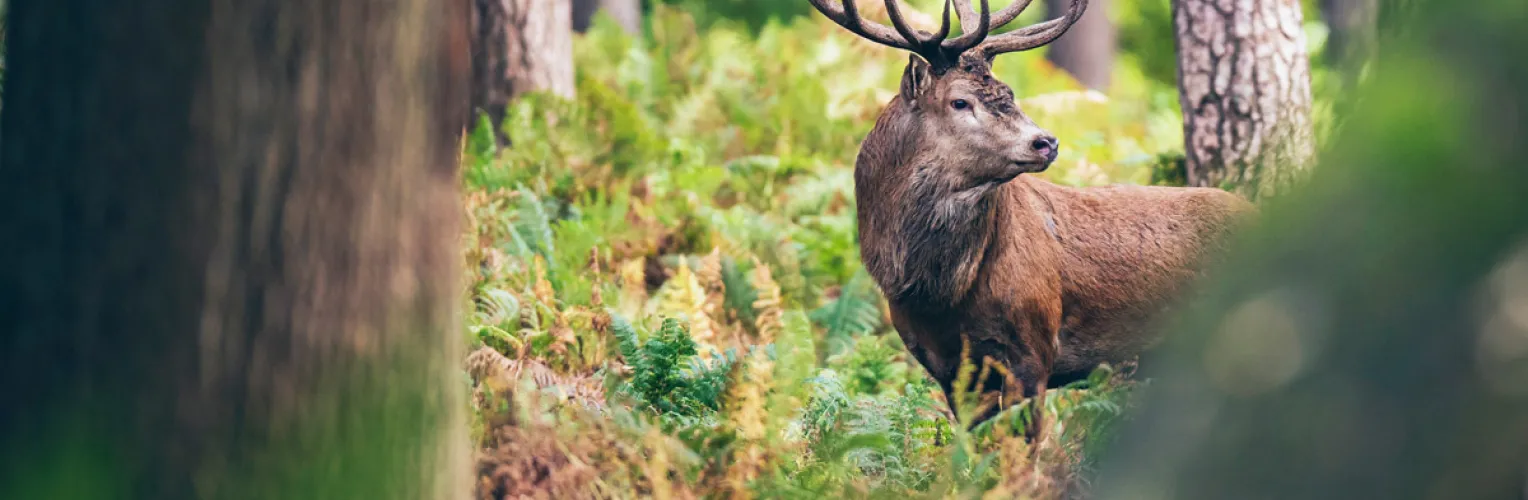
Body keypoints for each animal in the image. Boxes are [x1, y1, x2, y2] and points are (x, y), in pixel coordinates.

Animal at [809, 0, 1256, 428]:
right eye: (959, 101)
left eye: (1009, 92)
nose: (1046, 142)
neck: (938, 293)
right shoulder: (946, 369)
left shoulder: (1032, 349)